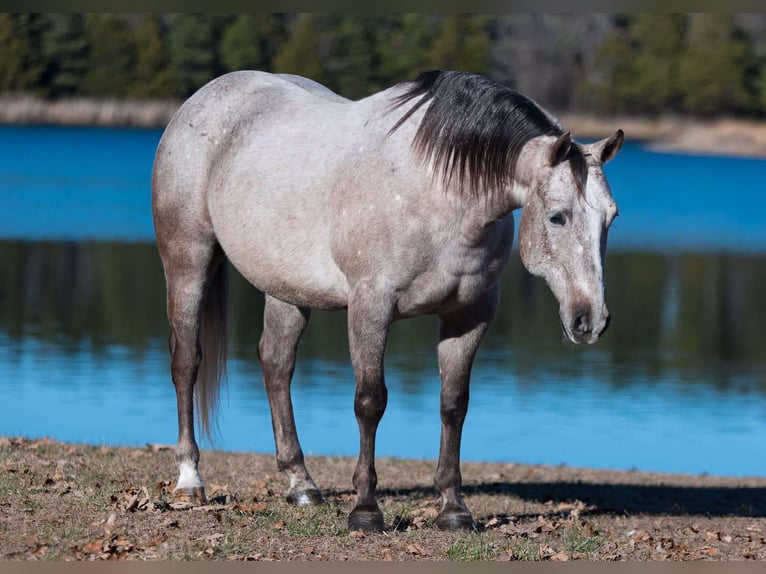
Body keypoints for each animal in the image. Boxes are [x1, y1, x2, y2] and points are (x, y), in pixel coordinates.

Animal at [151, 69, 623, 532]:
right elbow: (370, 401)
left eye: (611, 217)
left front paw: (454, 510)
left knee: (276, 364)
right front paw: (365, 510)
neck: (438, 191)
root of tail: (204, 98)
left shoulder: (469, 314)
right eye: (557, 217)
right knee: (186, 361)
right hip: (188, 260)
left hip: (286, 287)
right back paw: (190, 481)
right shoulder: (370, 305)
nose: (590, 320)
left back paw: (301, 484)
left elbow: (453, 405)